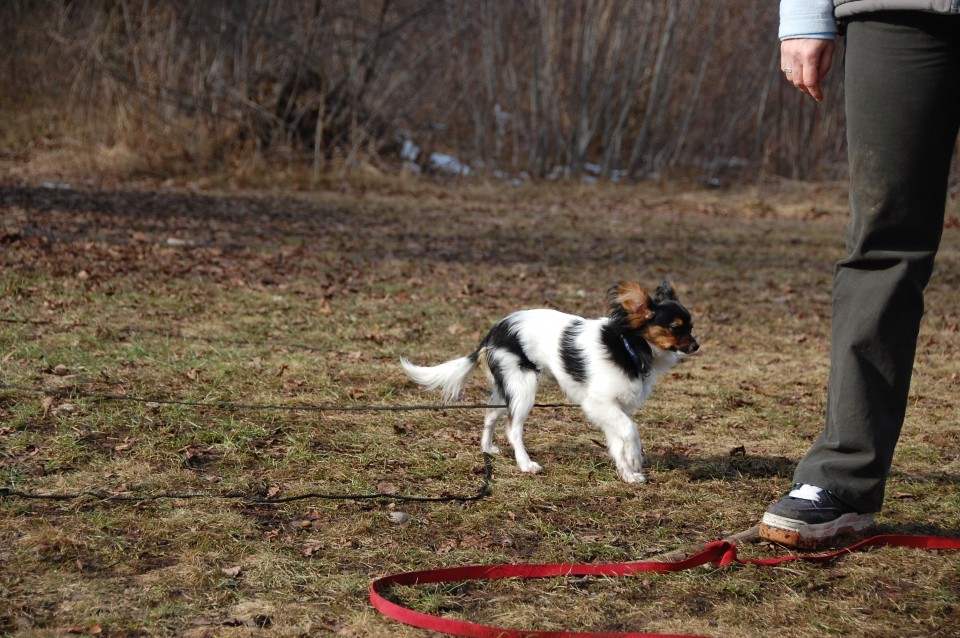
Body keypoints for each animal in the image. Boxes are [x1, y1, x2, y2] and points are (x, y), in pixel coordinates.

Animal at [402, 282, 700, 484]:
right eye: (675, 327)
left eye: (691, 327)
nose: (696, 345)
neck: (629, 345)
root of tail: (493, 332)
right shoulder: (599, 403)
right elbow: (631, 430)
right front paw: (636, 459)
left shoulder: (613, 409)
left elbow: (617, 442)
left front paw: (627, 473)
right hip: (524, 389)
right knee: (513, 429)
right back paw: (526, 465)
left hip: (507, 388)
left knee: (489, 415)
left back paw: (487, 448)